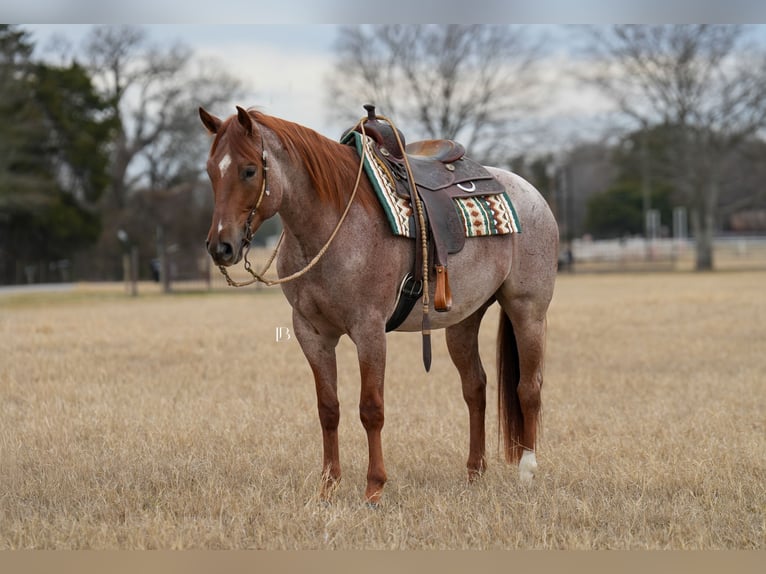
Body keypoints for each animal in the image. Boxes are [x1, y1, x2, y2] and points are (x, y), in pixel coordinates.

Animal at [198, 105, 559, 505]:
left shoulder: (369, 331)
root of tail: (530, 192)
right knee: (475, 387)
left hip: (528, 310)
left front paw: (374, 487)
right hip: (463, 320)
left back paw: (527, 471)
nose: (221, 247)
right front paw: (328, 485)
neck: (331, 223)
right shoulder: (311, 333)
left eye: (249, 170)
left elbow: (371, 409)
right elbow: (328, 408)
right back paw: (474, 473)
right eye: (211, 171)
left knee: (529, 388)